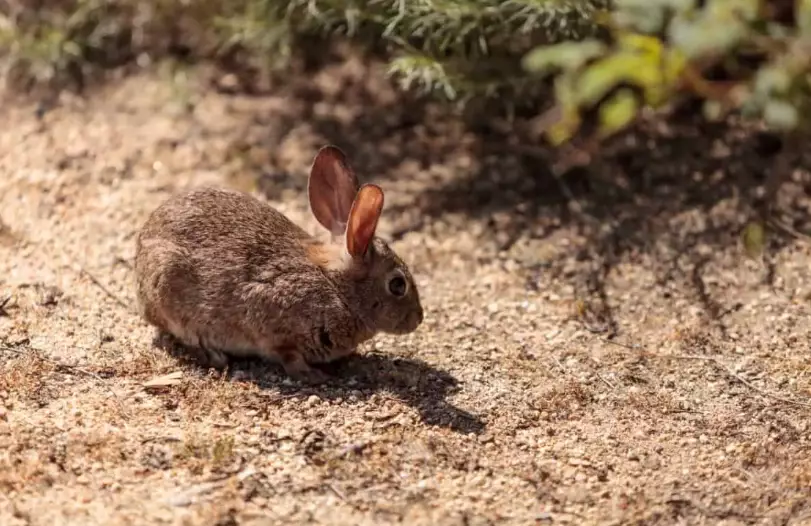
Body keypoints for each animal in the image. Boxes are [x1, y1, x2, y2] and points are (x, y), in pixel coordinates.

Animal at [134, 145, 424, 384]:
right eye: (397, 285)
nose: (418, 318)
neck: (338, 289)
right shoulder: (275, 323)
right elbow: (288, 356)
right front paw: (312, 375)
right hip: (167, 284)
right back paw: (214, 355)